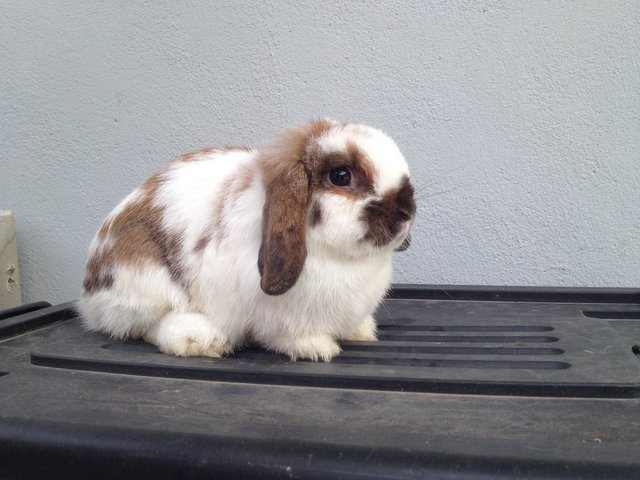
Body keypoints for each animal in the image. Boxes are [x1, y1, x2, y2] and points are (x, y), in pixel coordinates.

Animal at [77, 119, 418, 360]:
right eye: (341, 176)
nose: (406, 210)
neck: (346, 260)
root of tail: (88, 297)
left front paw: (362, 332)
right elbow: (285, 335)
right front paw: (316, 348)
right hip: (144, 280)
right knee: (145, 326)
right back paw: (201, 340)